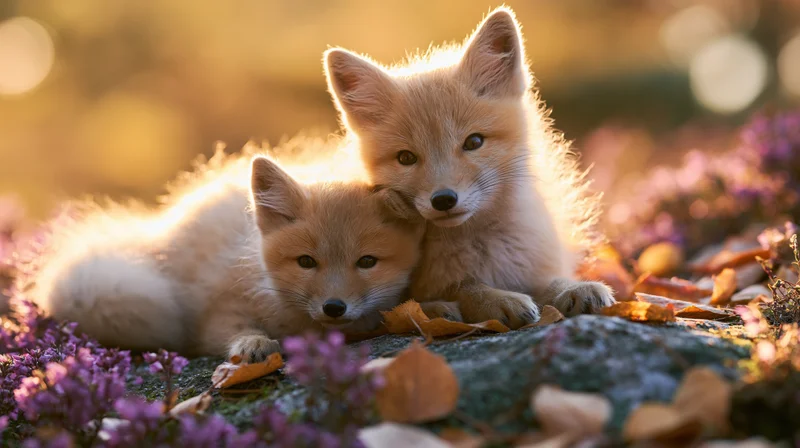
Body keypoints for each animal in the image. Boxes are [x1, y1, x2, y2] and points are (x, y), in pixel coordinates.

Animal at [27, 147, 424, 362]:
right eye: (306, 262)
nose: (334, 308)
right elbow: (235, 332)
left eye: (367, 262)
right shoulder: (216, 312)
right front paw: (254, 344)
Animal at [323, 6, 616, 328]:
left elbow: (551, 282)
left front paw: (574, 288)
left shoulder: (532, 266)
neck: (480, 246)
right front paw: (497, 299)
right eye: (406, 158)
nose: (443, 200)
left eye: (474, 142)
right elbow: (465, 287)